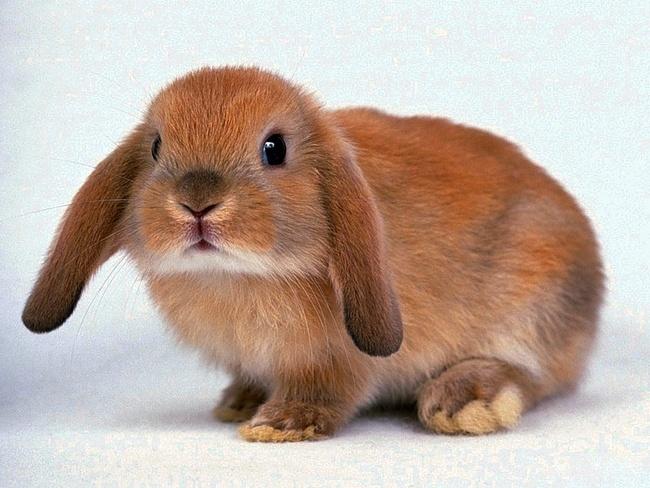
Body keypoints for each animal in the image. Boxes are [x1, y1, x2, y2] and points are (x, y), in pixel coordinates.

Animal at [22, 66, 604, 442]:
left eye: (274, 148)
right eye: (157, 147)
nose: (197, 202)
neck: (236, 276)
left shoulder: (337, 359)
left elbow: (329, 390)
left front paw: (280, 424)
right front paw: (241, 403)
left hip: (532, 308)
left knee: (532, 375)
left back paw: (462, 402)